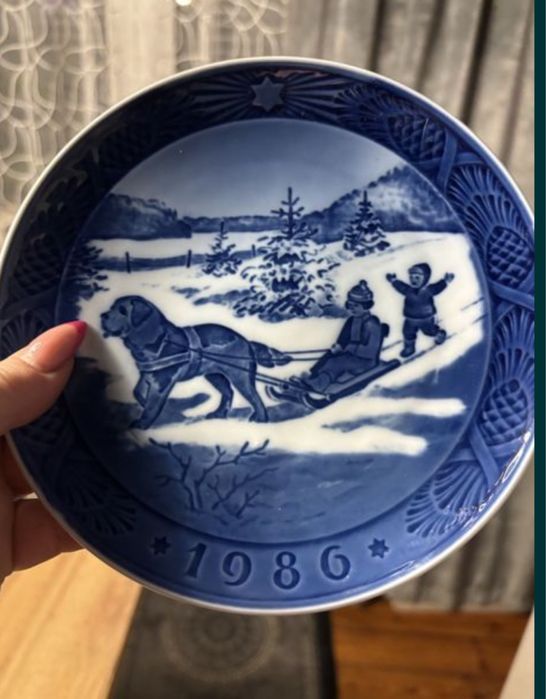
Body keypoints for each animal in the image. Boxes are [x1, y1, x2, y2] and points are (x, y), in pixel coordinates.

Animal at [100, 295, 290, 428]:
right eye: (111, 308)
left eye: (123, 311)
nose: (102, 315)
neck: (158, 339)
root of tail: (247, 341)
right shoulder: (148, 375)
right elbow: (137, 392)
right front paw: (145, 403)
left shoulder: (161, 382)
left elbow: (152, 405)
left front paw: (142, 423)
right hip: (215, 376)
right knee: (228, 392)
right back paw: (219, 414)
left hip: (240, 376)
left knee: (254, 397)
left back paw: (261, 419)